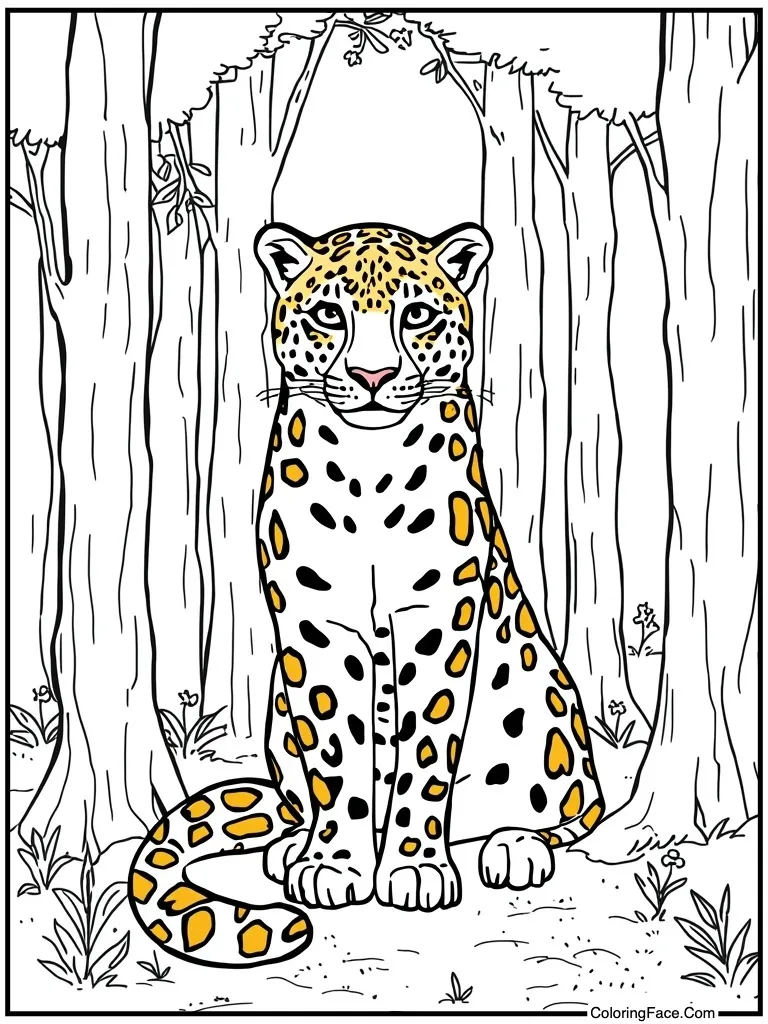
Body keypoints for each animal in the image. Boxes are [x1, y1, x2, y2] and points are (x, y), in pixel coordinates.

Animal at [128, 222, 604, 968]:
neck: (368, 472)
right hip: (276, 712)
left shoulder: (438, 619)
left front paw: (414, 869)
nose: (373, 377)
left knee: (572, 811)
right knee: (293, 798)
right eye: (330, 313)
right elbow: (334, 754)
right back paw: (292, 849)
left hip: (543, 703)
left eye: (417, 315)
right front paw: (333, 865)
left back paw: (513, 848)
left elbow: (426, 752)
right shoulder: (315, 626)